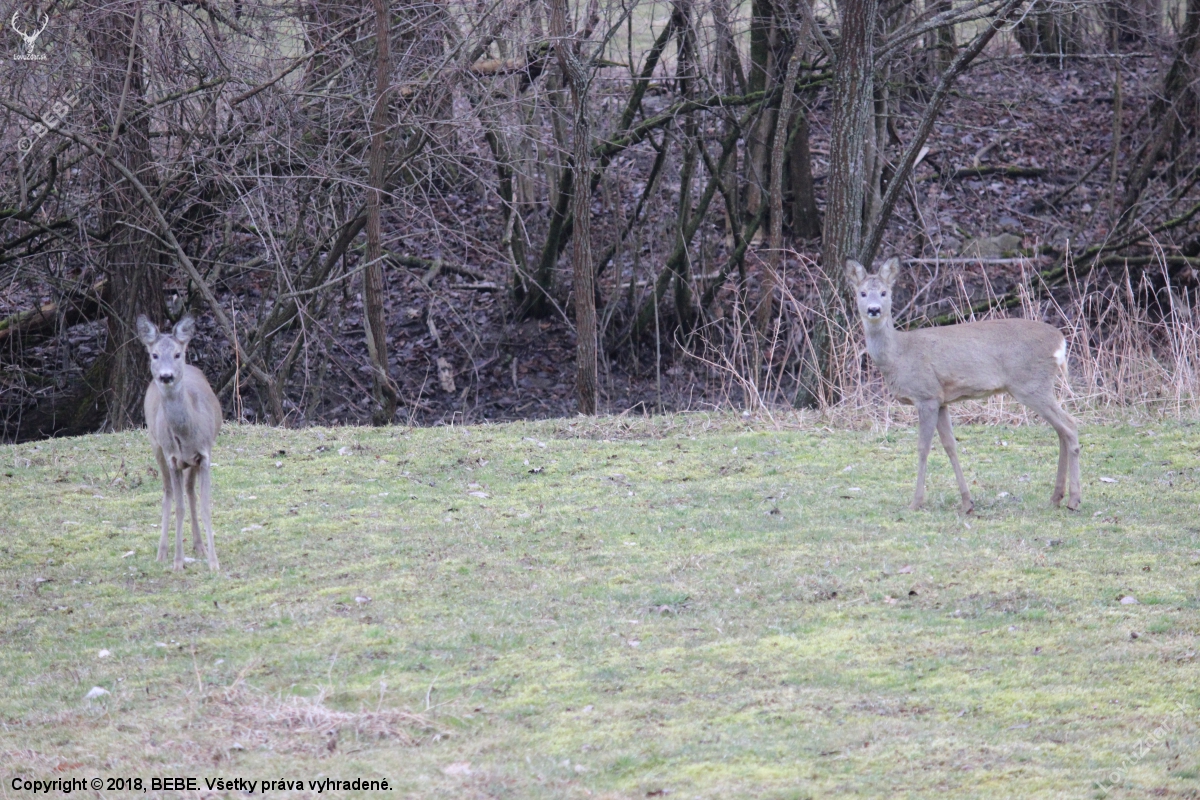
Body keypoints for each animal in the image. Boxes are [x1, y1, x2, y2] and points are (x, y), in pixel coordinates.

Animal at [137, 316, 222, 573]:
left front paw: (213, 562)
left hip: (190, 462)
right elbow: (179, 507)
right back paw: (162, 553)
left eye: (177, 354)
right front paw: (177, 562)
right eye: (154, 354)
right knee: (168, 492)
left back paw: (199, 546)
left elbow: (204, 504)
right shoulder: (173, 458)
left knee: (189, 490)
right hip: (156, 446)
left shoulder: (204, 455)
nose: (166, 376)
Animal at [849, 260, 1084, 515]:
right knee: (1061, 430)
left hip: (1031, 384)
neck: (899, 355)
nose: (873, 309)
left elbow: (923, 447)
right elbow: (950, 445)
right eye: (862, 293)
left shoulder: (926, 395)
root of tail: (1060, 341)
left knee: (1070, 425)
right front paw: (967, 501)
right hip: (1038, 385)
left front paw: (916, 502)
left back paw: (1073, 500)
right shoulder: (941, 399)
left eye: (884, 292)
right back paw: (1056, 497)